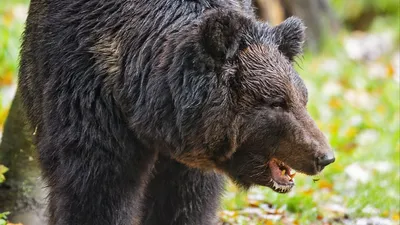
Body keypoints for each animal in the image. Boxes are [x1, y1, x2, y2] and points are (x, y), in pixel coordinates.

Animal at [18, 0, 334, 224]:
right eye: (276, 102)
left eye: (302, 98)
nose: (325, 156)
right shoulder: (89, 100)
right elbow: (95, 191)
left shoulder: (190, 163)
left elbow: (183, 204)